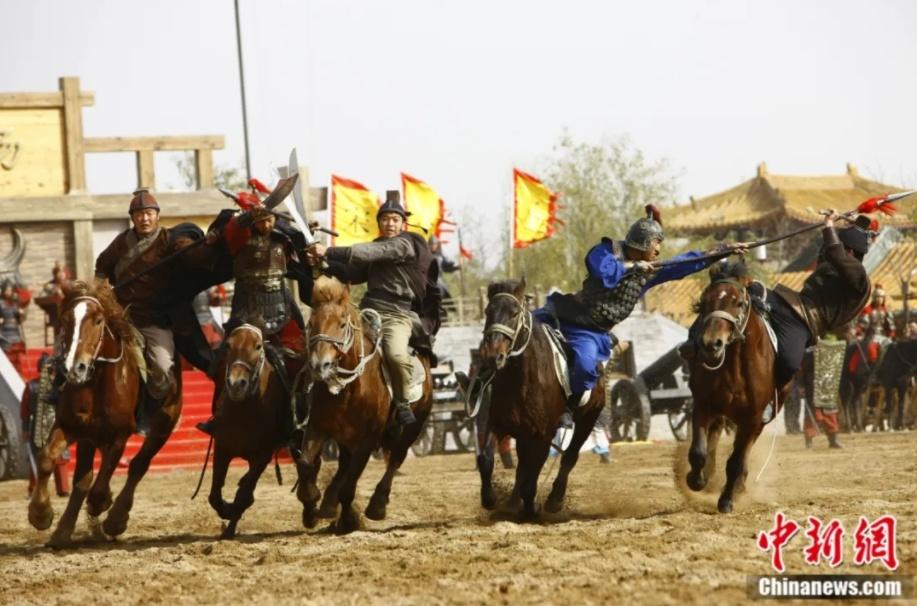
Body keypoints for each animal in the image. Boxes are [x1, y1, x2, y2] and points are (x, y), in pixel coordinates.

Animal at [27, 280, 183, 547]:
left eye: (98, 320)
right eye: (66, 320)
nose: (75, 368)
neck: (98, 383)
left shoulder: (120, 434)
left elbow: (104, 479)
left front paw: (103, 504)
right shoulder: (69, 426)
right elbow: (48, 459)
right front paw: (41, 514)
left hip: (164, 424)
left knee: (138, 465)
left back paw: (115, 518)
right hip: (90, 439)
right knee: (84, 478)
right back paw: (63, 531)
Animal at [206, 321, 291, 539]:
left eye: (258, 346)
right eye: (228, 345)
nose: (237, 384)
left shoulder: (262, 457)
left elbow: (244, 492)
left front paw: (230, 526)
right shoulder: (222, 449)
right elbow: (215, 494)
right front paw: (227, 511)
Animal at [294, 276, 433, 534]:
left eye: (341, 324)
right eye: (311, 323)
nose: (319, 365)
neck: (349, 388)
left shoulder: (367, 441)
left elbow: (350, 486)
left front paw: (348, 521)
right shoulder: (317, 427)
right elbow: (306, 464)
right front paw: (310, 509)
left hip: (413, 428)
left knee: (395, 459)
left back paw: (377, 505)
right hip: (346, 439)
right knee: (343, 467)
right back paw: (328, 504)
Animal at [476, 278, 605, 519]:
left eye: (514, 313)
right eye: (488, 311)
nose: (492, 355)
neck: (522, 380)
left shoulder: (543, 436)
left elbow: (532, 478)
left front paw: (531, 509)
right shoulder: (498, 424)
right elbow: (486, 459)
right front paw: (489, 499)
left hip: (588, 419)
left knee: (569, 456)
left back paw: (554, 499)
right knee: (522, 466)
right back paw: (512, 502)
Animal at [686, 271, 786, 513]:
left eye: (739, 303)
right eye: (704, 302)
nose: (711, 344)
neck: (735, 368)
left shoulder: (752, 418)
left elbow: (736, 461)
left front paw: (726, 500)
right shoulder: (703, 405)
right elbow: (698, 451)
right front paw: (696, 479)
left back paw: (739, 484)